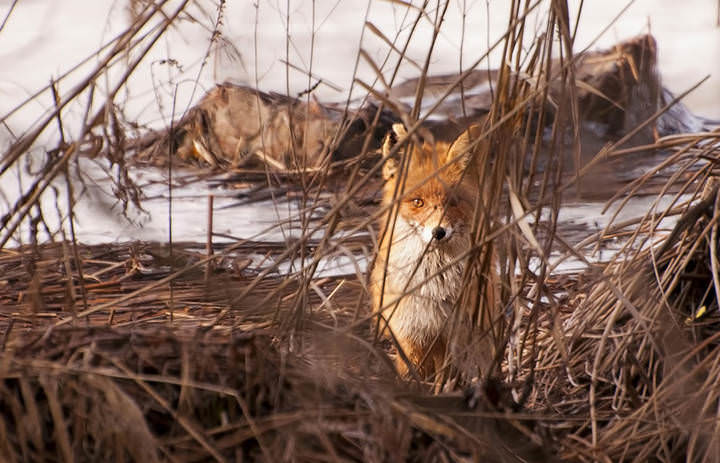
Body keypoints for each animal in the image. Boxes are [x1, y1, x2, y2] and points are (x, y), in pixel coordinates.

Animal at [371, 123, 499, 379]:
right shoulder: (410, 334)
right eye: (418, 202)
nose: (438, 232)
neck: (433, 286)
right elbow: (412, 373)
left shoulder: (456, 335)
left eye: (454, 202)